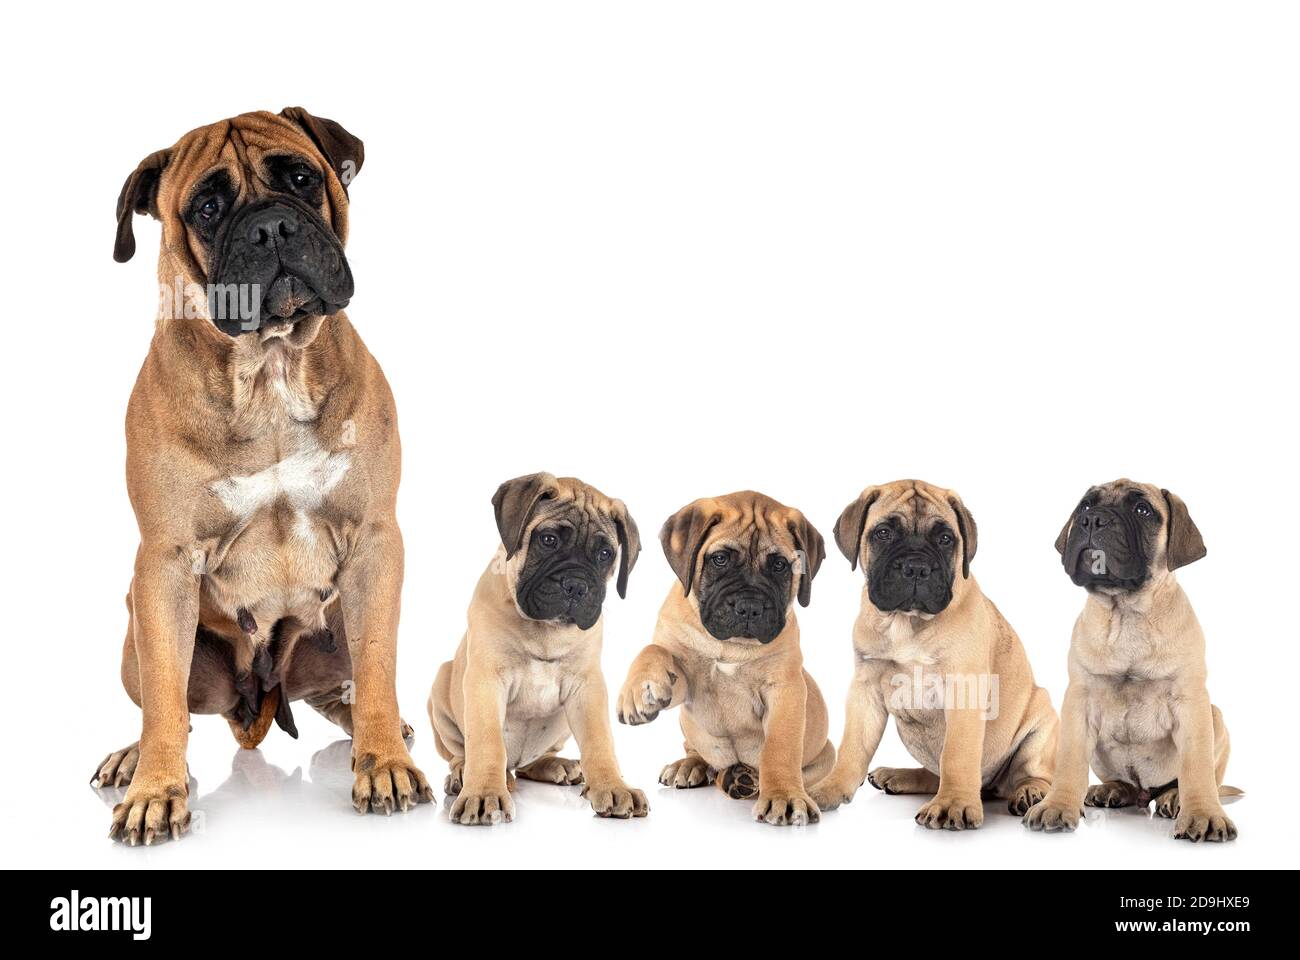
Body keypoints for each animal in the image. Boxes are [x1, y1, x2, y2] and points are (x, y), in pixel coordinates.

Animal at [89, 110, 431, 842]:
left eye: (300, 179)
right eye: (208, 208)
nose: (271, 226)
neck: (270, 369)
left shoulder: (374, 544)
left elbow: (378, 666)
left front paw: (384, 762)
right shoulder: (164, 563)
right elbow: (165, 695)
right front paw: (155, 790)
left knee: (349, 687)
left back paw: (379, 730)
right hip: (138, 625)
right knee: (167, 704)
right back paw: (134, 757)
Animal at [428, 470, 647, 822]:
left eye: (605, 555)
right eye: (548, 540)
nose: (576, 585)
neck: (546, 631)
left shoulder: (588, 687)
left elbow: (600, 741)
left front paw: (613, 786)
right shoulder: (485, 681)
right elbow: (486, 741)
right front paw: (484, 792)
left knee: (532, 763)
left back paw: (558, 765)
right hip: (441, 686)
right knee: (460, 752)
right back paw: (466, 773)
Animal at [613, 489, 826, 827]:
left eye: (779, 565)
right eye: (720, 559)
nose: (750, 607)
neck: (730, 646)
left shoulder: (786, 690)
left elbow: (781, 745)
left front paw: (784, 794)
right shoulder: (687, 684)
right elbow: (653, 649)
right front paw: (640, 691)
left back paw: (745, 777)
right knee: (700, 754)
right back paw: (696, 767)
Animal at [806, 481, 1060, 827]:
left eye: (945, 539)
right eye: (883, 533)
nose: (916, 567)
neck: (906, 622)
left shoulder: (964, 689)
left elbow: (956, 754)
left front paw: (954, 804)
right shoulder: (865, 689)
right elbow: (852, 748)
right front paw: (829, 788)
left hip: (1041, 719)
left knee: (1033, 774)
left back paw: (1029, 793)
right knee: (934, 773)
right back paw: (898, 776)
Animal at [1024, 478, 1237, 837]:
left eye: (1142, 510)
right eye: (1085, 505)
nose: (1093, 520)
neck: (1127, 612)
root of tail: (1143, 793)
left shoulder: (1190, 704)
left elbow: (1196, 768)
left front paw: (1204, 814)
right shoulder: (1079, 702)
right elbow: (1069, 760)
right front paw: (1057, 804)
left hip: (1215, 717)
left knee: (1193, 780)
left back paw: (1174, 798)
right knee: (1120, 782)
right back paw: (1111, 789)